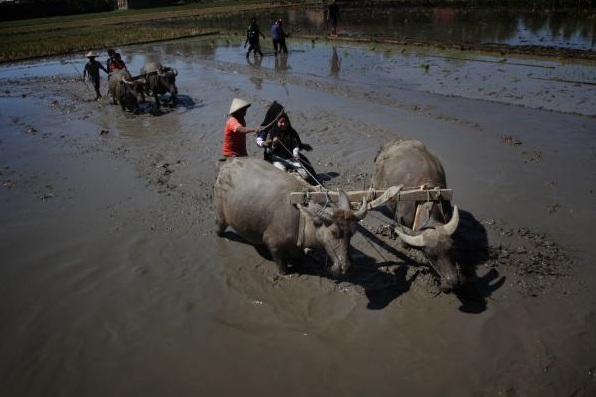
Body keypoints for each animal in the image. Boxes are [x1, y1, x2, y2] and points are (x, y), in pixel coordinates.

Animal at [214, 157, 368, 276]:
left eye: (352, 233)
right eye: (334, 232)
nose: (347, 267)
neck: (301, 217)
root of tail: (227, 164)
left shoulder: (297, 248)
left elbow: (300, 260)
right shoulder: (273, 244)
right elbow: (281, 266)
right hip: (220, 215)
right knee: (219, 227)